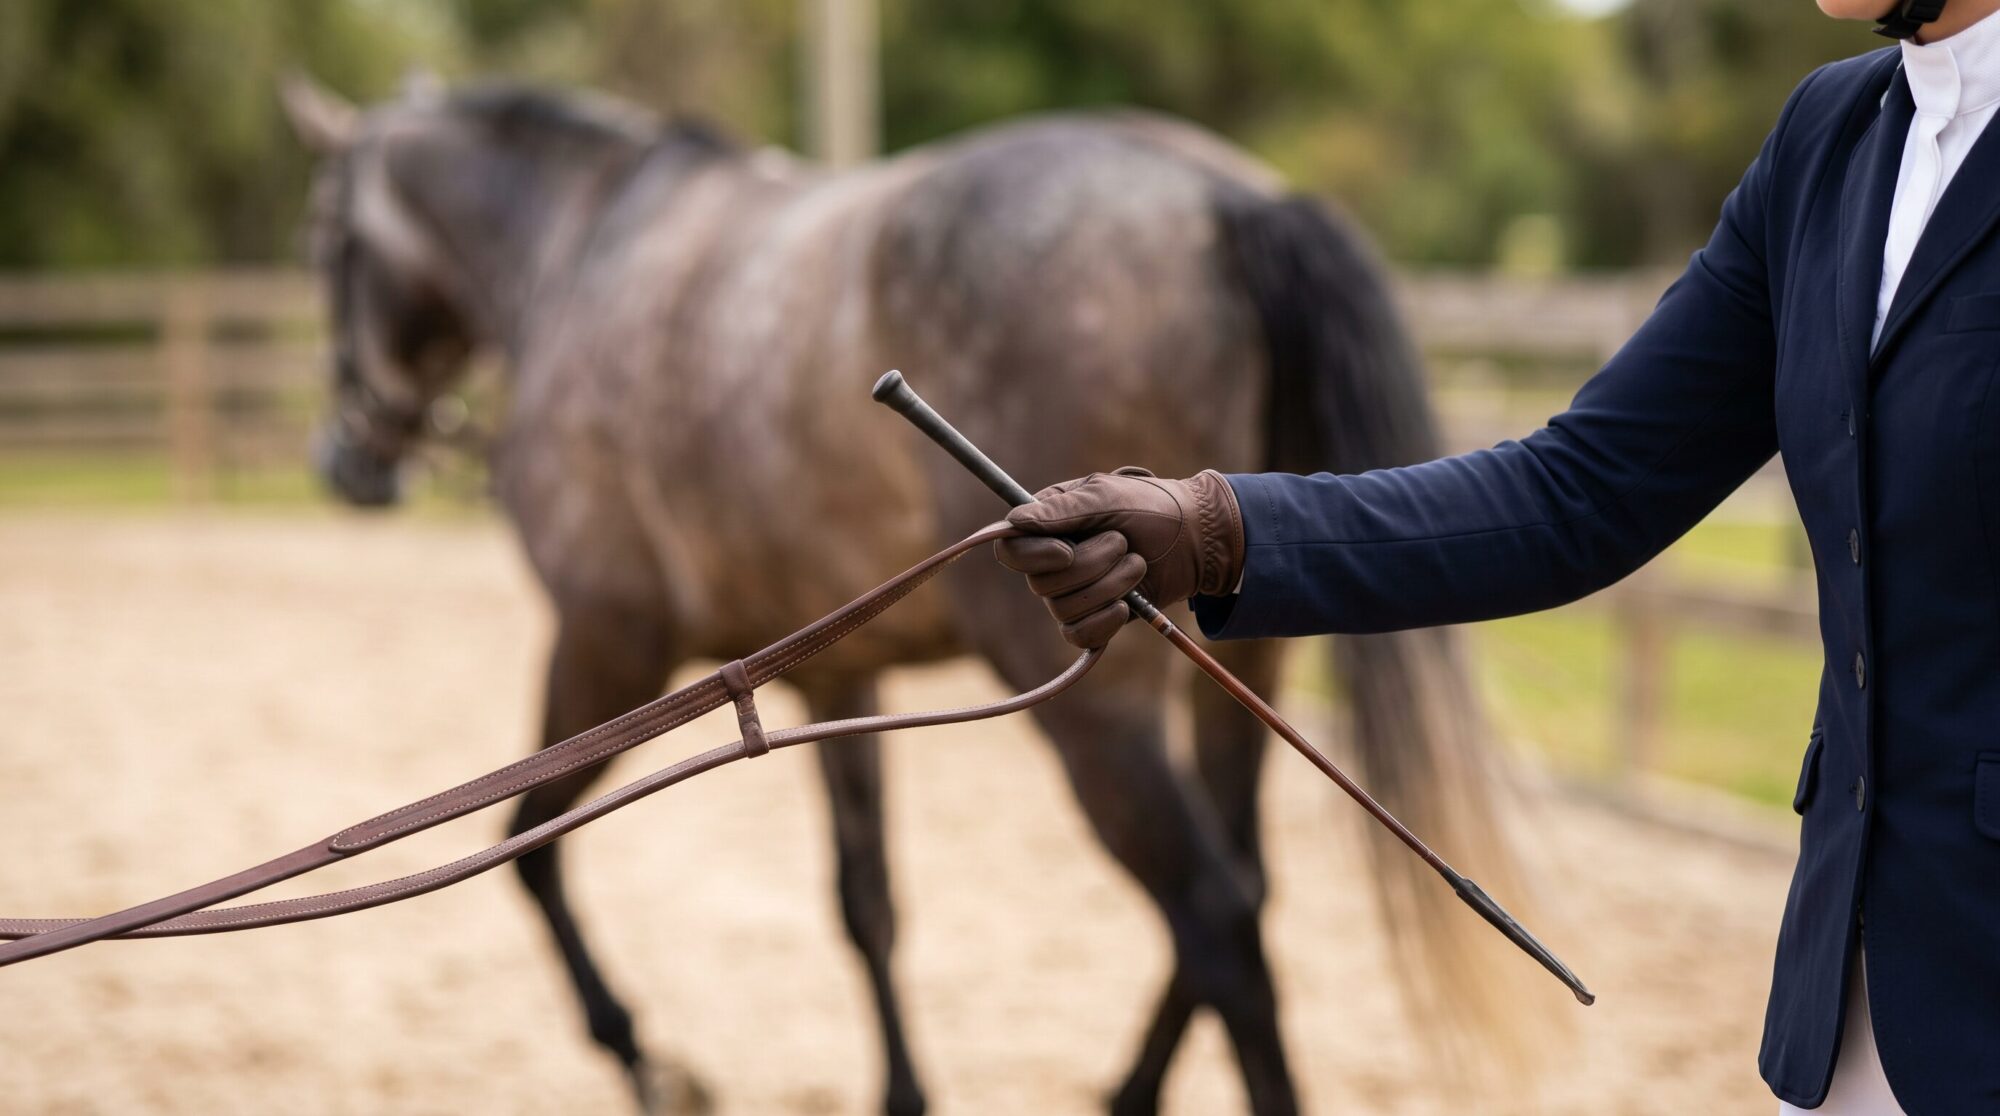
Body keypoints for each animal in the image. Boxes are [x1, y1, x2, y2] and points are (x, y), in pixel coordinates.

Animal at [280, 72, 1523, 1116]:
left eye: (326, 240)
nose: (346, 460)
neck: (587, 250)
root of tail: (1230, 204)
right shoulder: (830, 672)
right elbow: (865, 901)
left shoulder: (606, 640)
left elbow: (528, 852)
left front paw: (650, 1065)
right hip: (1236, 669)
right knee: (1239, 899)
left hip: (1096, 703)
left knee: (1214, 920)